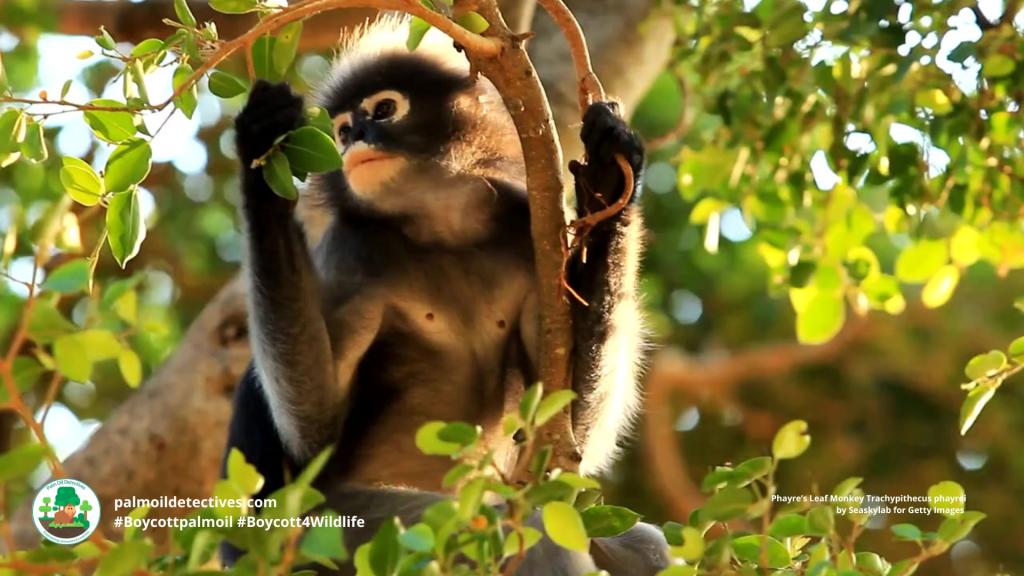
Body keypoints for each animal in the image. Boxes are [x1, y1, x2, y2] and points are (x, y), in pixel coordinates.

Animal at [221, 14, 663, 573]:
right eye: (342, 131)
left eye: (382, 110)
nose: (354, 140)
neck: (442, 226)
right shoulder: (351, 250)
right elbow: (313, 431)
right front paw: (262, 143)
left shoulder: (527, 237)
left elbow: (566, 431)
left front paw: (608, 176)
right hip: (335, 531)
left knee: (640, 543)